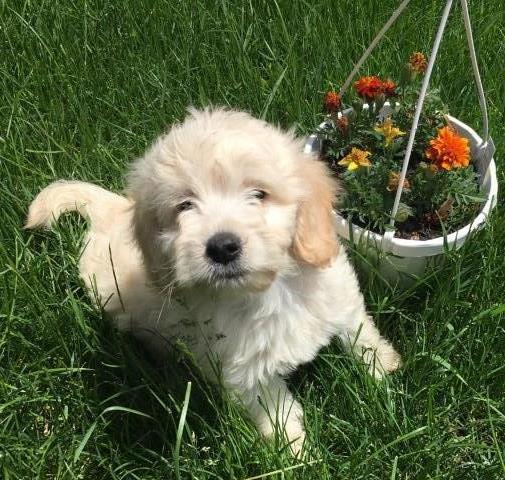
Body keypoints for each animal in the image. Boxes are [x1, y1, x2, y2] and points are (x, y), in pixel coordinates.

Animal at [26, 108, 398, 454]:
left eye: (259, 194)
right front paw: (297, 453)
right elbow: (279, 413)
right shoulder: (247, 378)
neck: (269, 291)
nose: (221, 247)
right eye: (185, 205)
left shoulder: (340, 297)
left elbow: (360, 334)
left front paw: (385, 370)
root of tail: (110, 211)